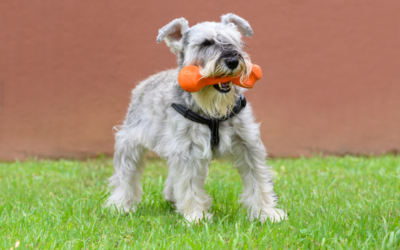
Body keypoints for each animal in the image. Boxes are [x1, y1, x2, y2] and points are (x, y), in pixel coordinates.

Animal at [106, 13, 286, 223]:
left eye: (235, 41)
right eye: (205, 43)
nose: (233, 60)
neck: (213, 110)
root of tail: (142, 84)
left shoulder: (248, 144)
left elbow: (258, 179)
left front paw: (266, 212)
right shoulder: (187, 151)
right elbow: (189, 183)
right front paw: (196, 217)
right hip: (130, 144)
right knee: (125, 176)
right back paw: (121, 205)